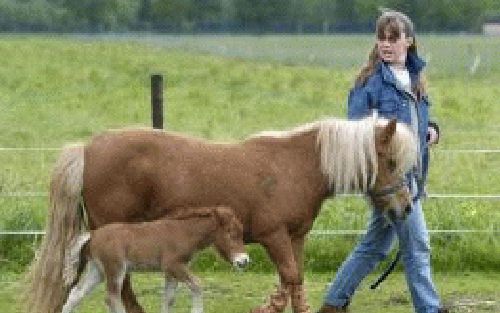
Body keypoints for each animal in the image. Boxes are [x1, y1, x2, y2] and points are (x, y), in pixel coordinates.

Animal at [27, 114, 418, 312]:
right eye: (391, 161)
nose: (405, 207)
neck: (295, 166)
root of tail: (86, 149)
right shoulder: (274, 237)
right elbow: (290, 277)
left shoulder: (295, 238)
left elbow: (295, 281)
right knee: (121, 288)